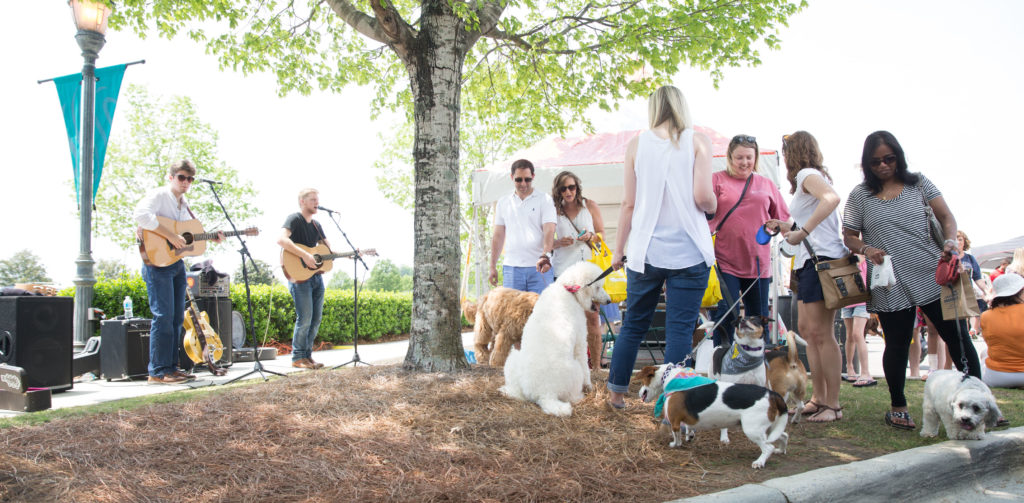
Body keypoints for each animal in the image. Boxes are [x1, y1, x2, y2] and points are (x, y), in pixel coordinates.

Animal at [634, 364, 786, 471]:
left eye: (642, 382)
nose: (639, 393)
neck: (669, 377)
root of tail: (772, 394)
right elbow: (689, 427)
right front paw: (690, 435)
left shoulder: (674, 421)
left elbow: (676, 436)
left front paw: (675, 445)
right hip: (770, 427)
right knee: (784, 435)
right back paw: (781, 450)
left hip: (752, 429)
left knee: (768, 447)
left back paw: (759, 462)